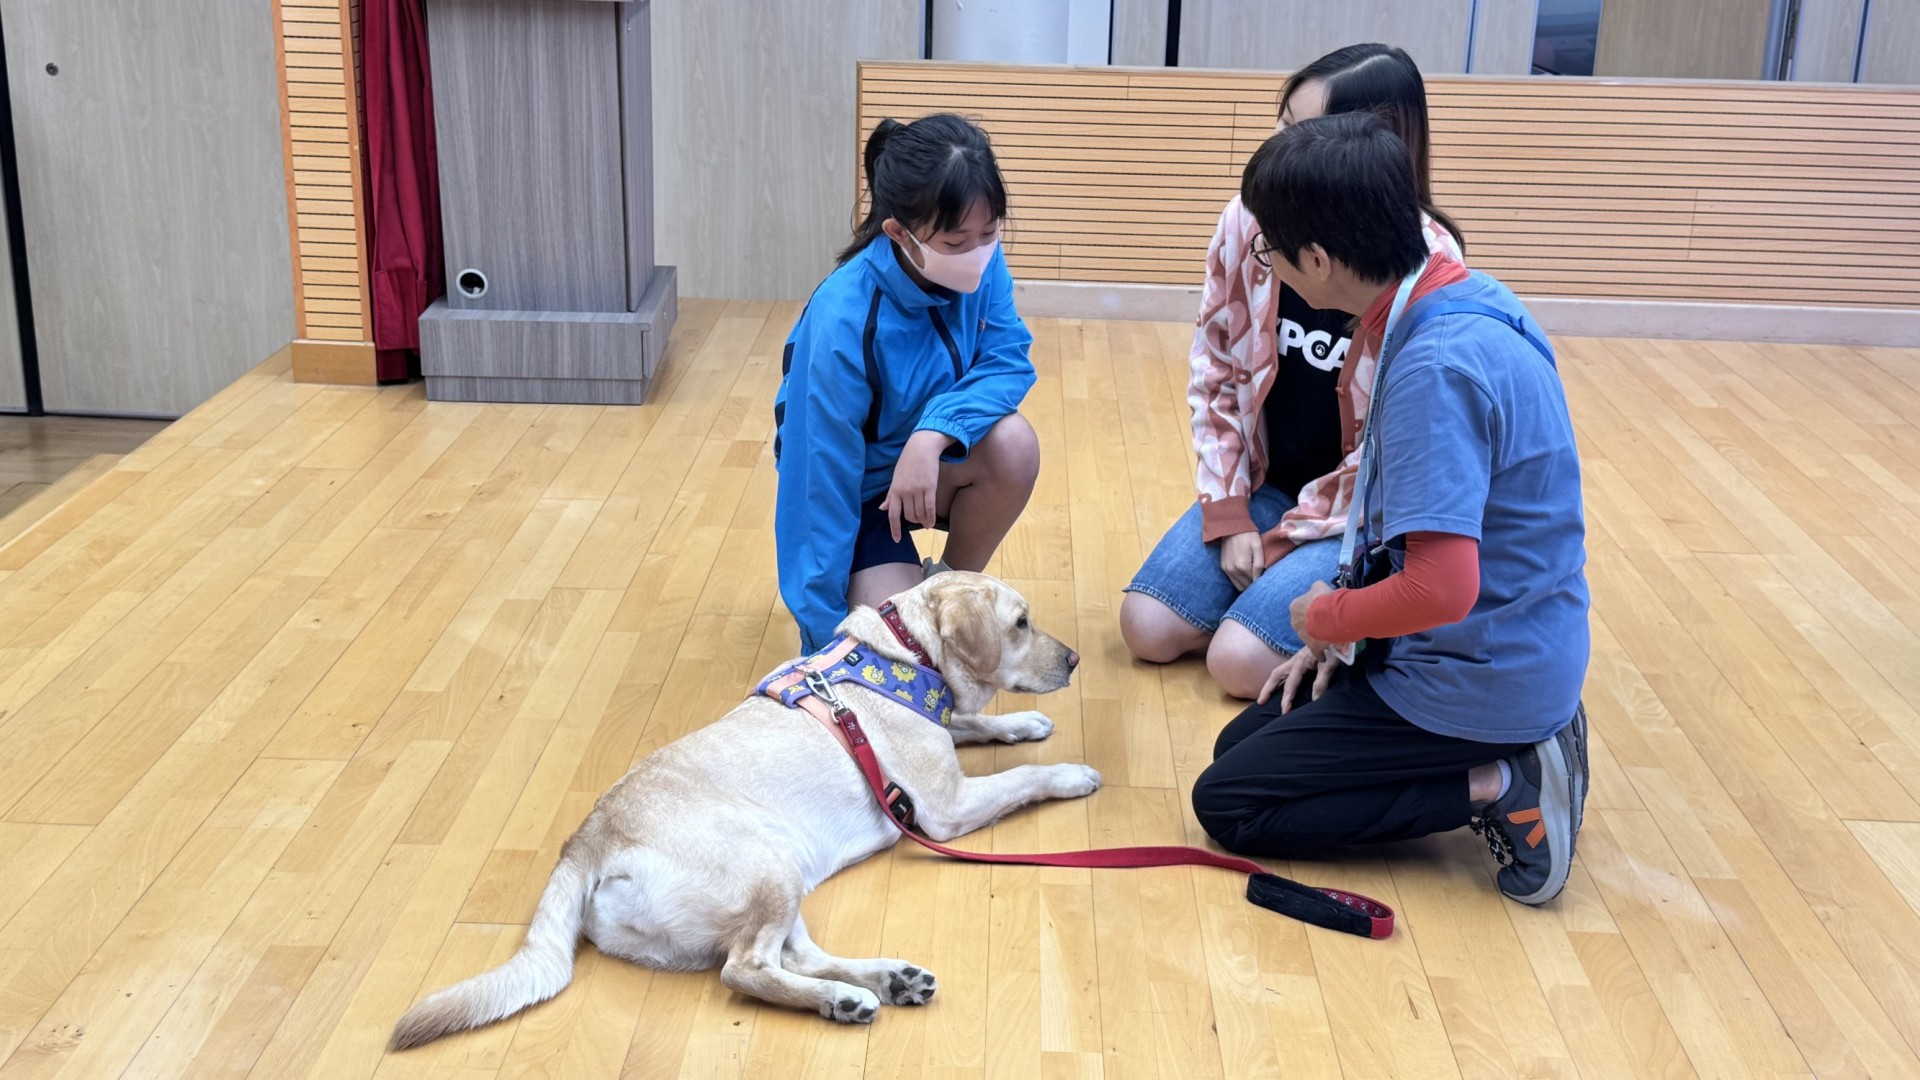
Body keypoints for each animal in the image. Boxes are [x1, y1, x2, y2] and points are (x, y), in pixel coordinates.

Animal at [389, 571, 1099, 1050]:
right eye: (1021, 623)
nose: (1075, 659)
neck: (903, 654)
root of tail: (585, 843)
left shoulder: (947, 736)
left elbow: (974, 723)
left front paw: (1024, 724)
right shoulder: (946, 808)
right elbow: (1021, 776)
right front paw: (1070, 773)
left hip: (782, 872)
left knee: (792, 957)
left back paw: (887, 980)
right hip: (767, 867)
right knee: (747, 969)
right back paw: (845, 998)